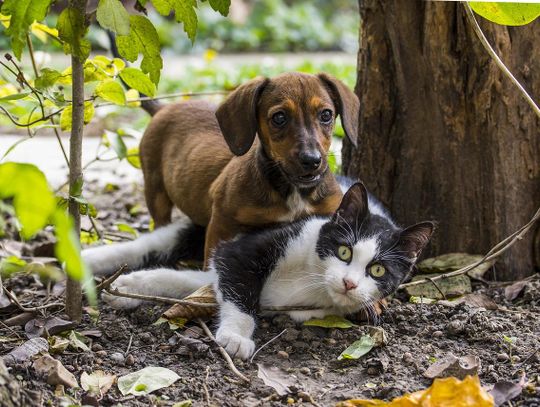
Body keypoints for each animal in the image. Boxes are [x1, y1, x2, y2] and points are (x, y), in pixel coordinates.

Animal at [82, 182, 434, 360]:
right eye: (344, 251)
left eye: (378, 270)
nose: (349, 283)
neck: (312, 279)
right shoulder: (244, 249)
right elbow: (240, 289)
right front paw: (237, 337)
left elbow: (186, 282)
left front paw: (131, 287)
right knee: (151, 243)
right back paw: (85, 259)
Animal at [138, 72, 358, 262]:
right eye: (279, 117)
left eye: (326, 115)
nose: (311, 160)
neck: (292, 191)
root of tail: (163, 108)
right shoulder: (221, 222)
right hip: (155, 191)